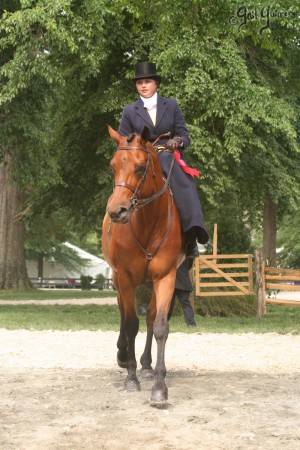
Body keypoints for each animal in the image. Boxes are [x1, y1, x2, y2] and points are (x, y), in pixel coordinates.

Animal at [102, 125, 184, 402]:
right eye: (113, 166)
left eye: (140, 168)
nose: (117, 211)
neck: (148, 222)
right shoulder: (125, 278)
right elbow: (130, 324)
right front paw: (130, 377)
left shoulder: (166, 277)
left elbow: (159, 326)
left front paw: (159, 385)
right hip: (118, 279)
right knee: (123, 313)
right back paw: (123, 355)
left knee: (149, 317)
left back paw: (146, 365)